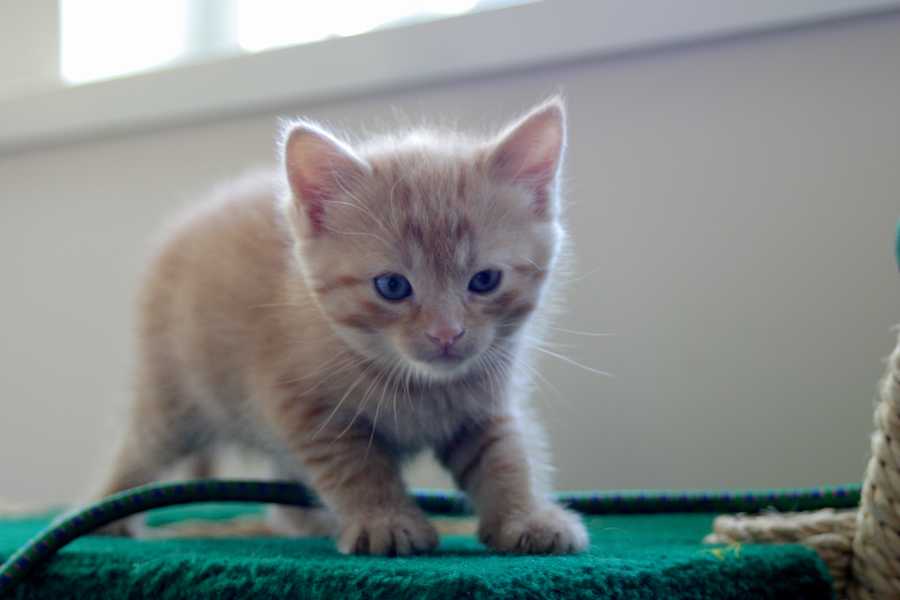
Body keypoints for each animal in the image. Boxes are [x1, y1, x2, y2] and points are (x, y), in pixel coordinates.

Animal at [96, 97, 589, 555]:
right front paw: (385, 521)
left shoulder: (485, 403)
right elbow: (355, 468)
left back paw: (304, 522)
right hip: (176, 393)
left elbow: (505, 458)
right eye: (392, 286)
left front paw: (526, 518)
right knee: (140, 447)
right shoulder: (304, 404)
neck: (420, 384)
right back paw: (111, 513)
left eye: (485, 280)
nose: (446, 334)